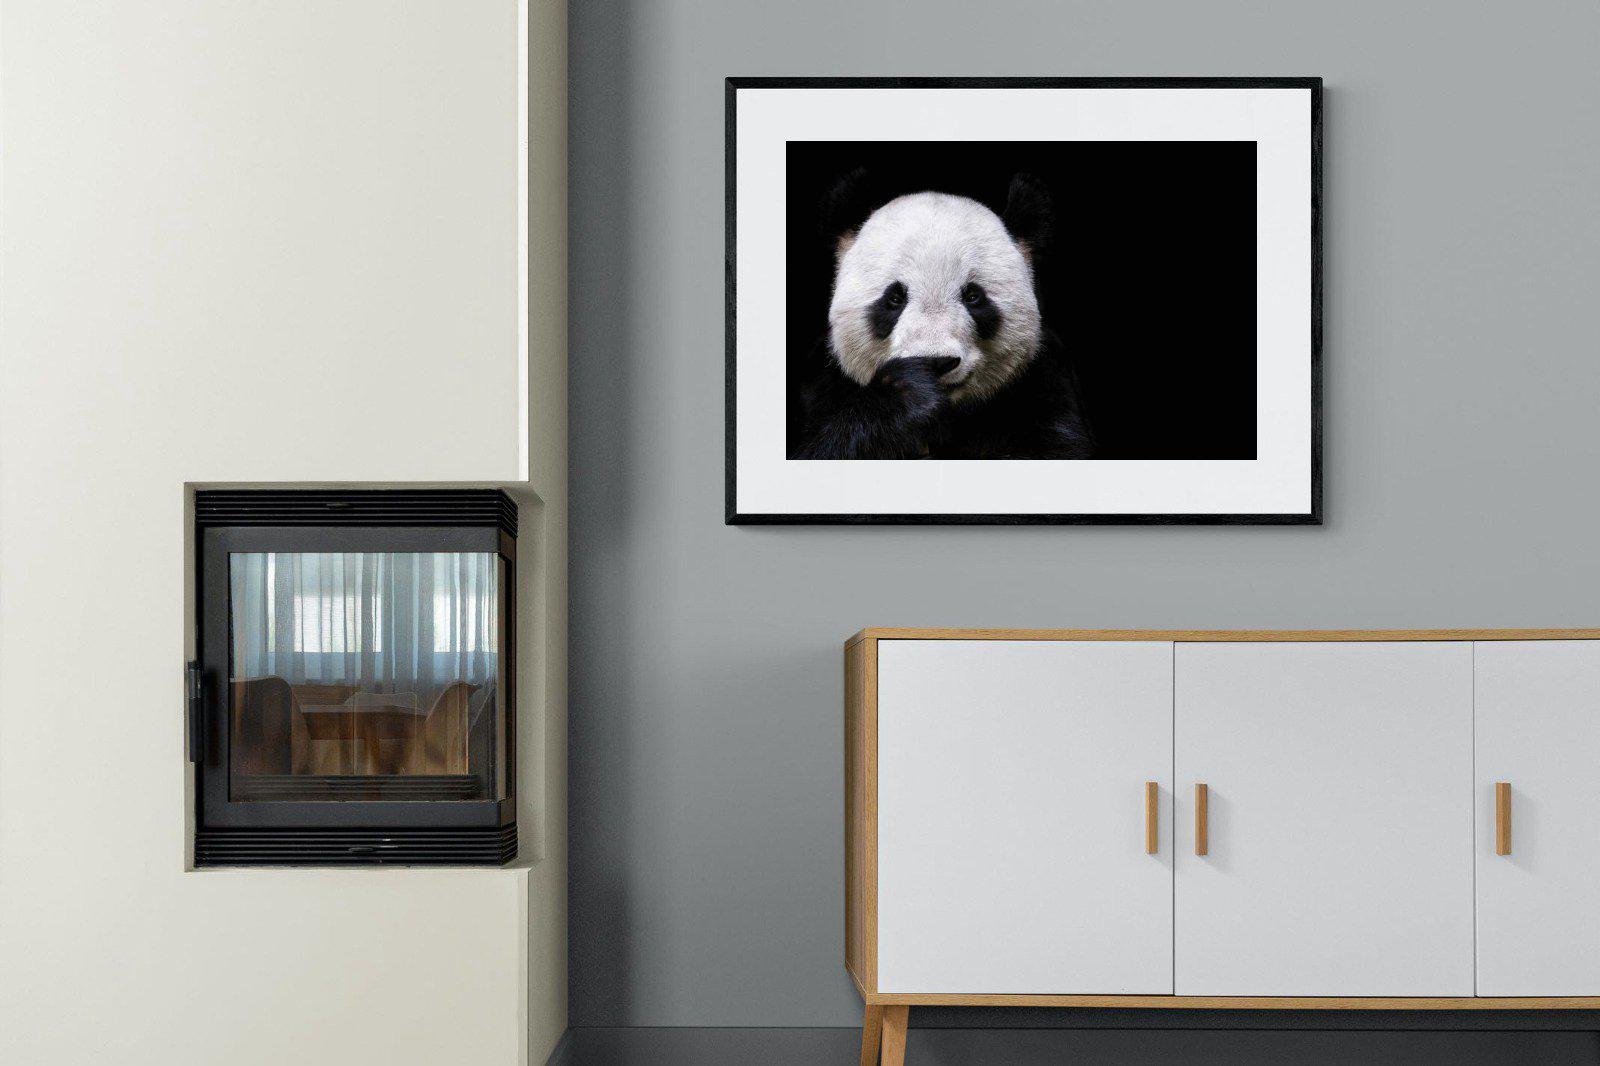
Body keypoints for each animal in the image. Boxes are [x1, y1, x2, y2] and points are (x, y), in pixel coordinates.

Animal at [792, 173, 1095, 460]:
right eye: (895, 298)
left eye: (973, 296)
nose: (936, 362)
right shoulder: (823, 386)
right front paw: (907, 393)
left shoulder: (1043, 384)